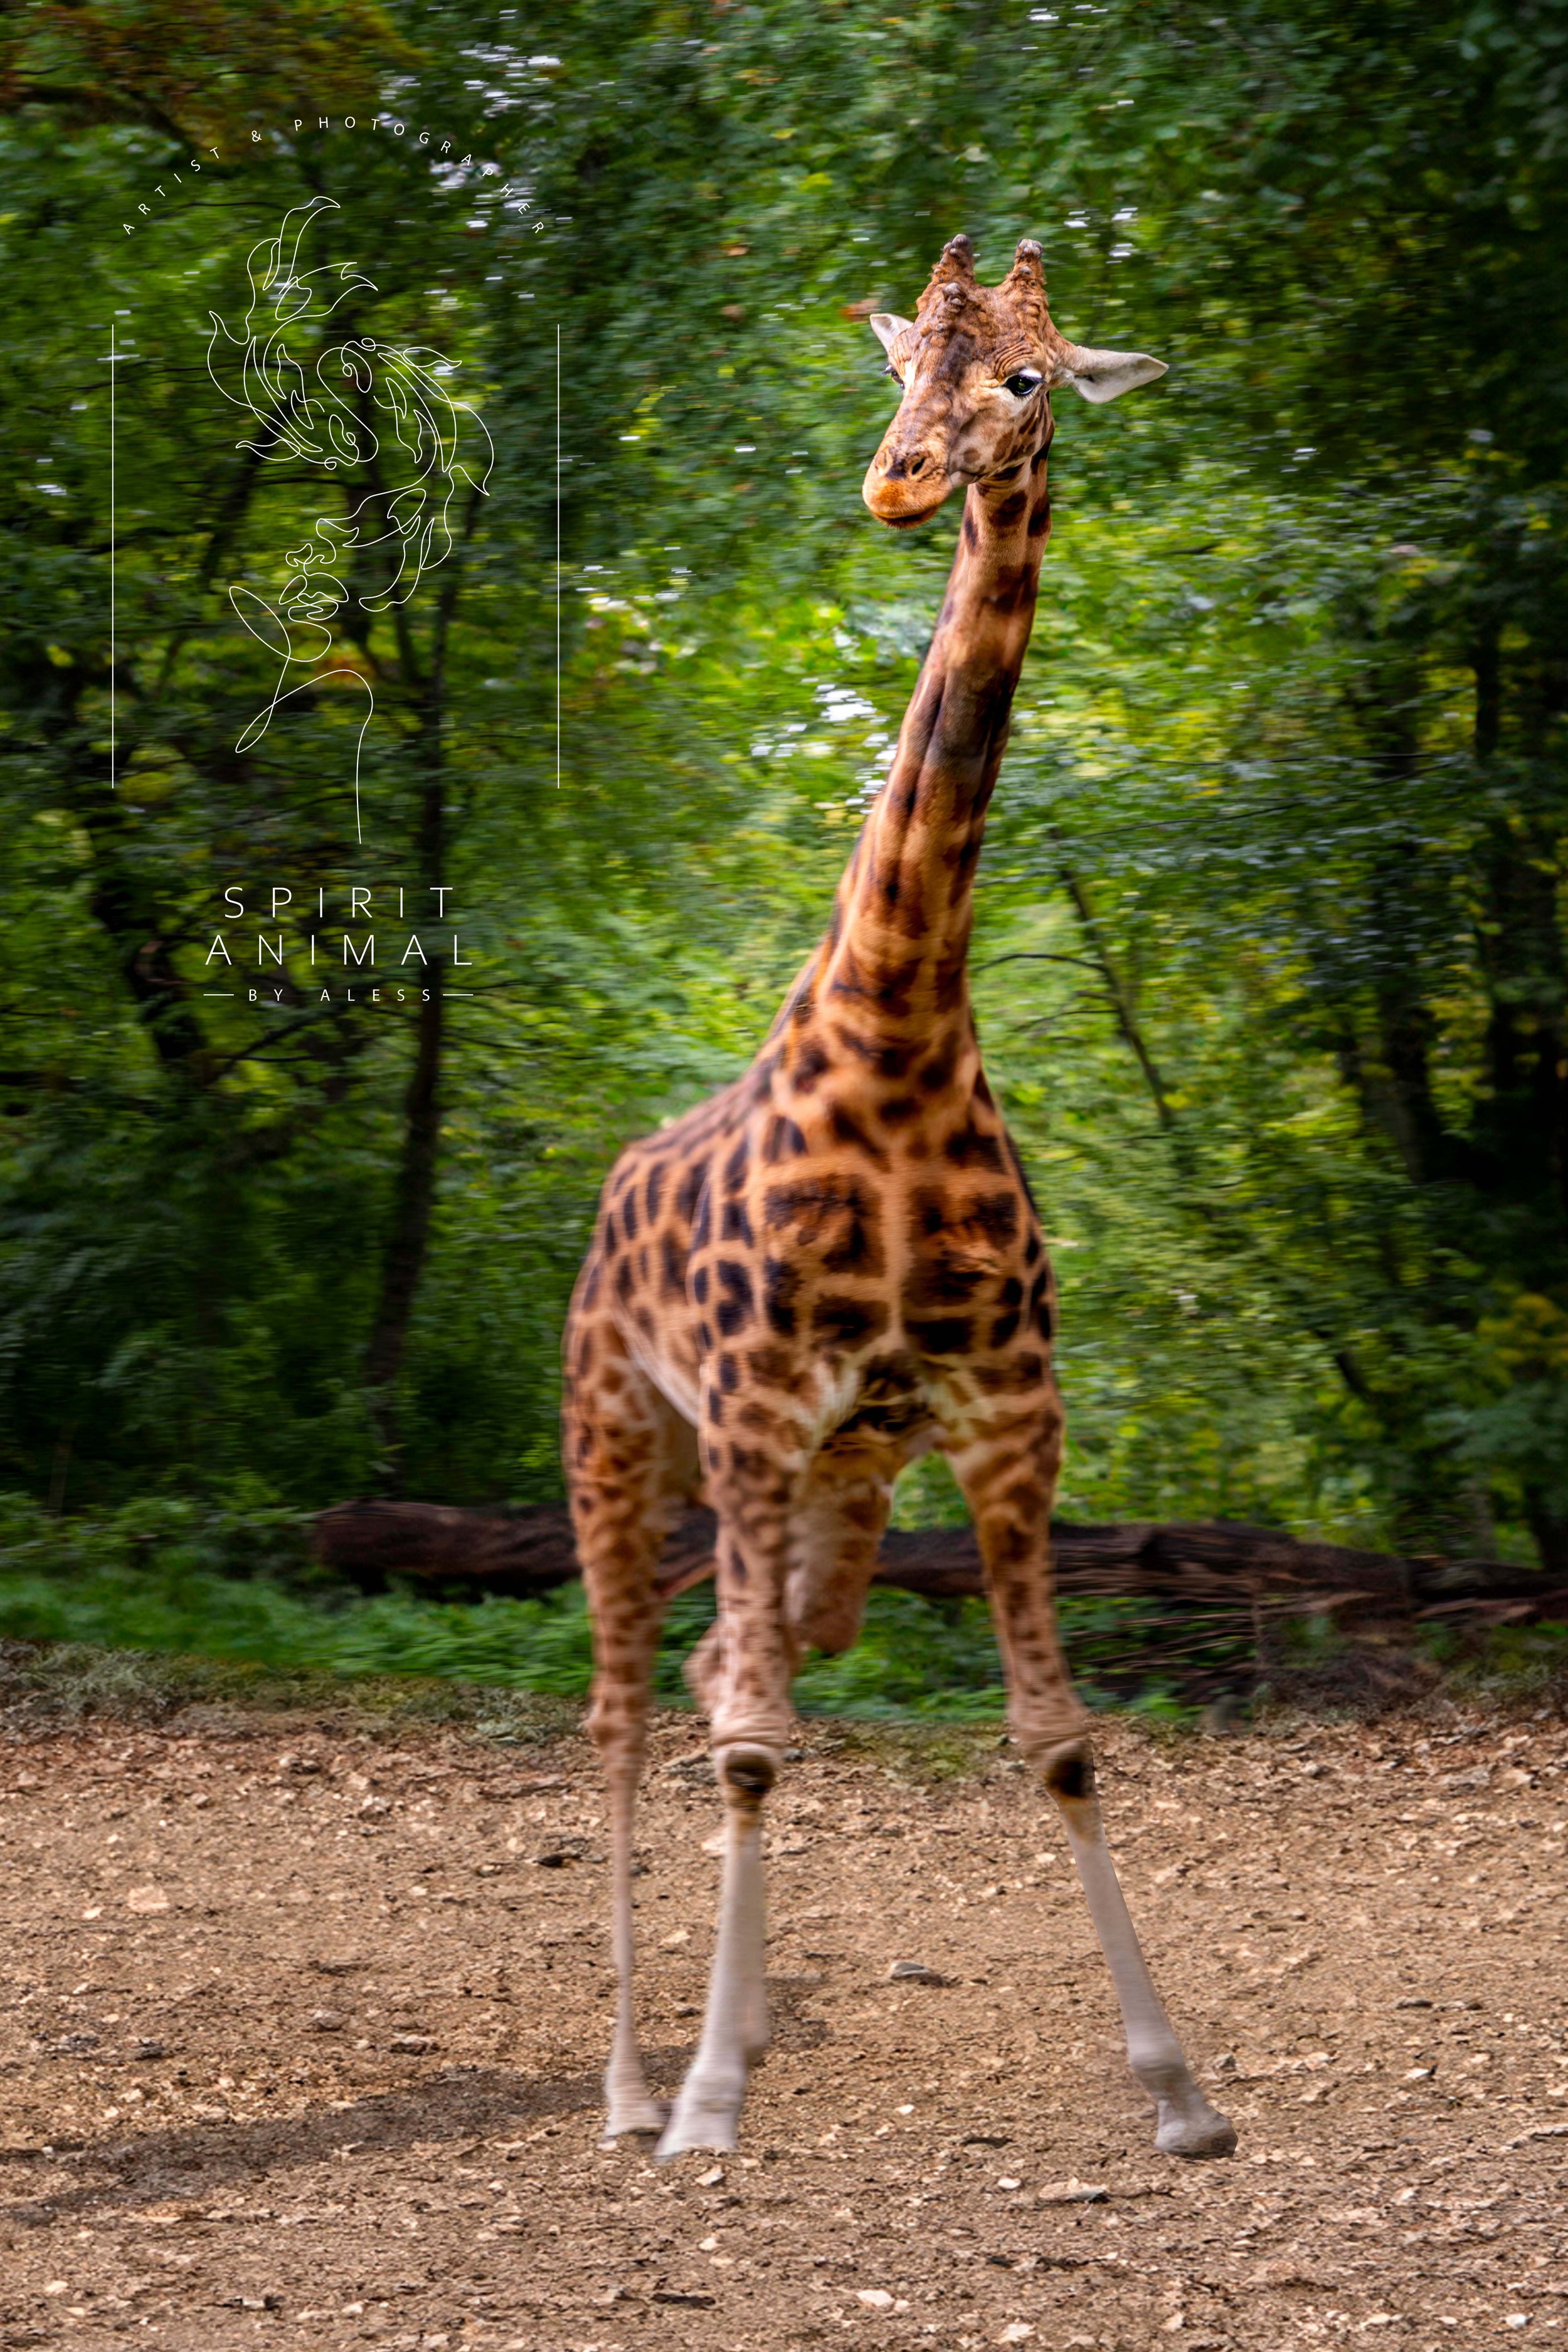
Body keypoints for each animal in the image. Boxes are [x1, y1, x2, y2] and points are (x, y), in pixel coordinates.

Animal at [562, 232, 1237, 2166]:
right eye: (894, 364)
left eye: (1027, 377)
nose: (897, 480)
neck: (898, 1030)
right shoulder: (750, 1408)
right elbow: (751, 1741)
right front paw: (704, 2101)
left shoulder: (1006, 1413)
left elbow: (1056, 1733)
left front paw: (1179, 2090)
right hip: (623, 1437)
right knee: (634, 1706)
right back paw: (635, 2081)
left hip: (835, 1494)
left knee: (736, 1665)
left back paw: (728, 2023)